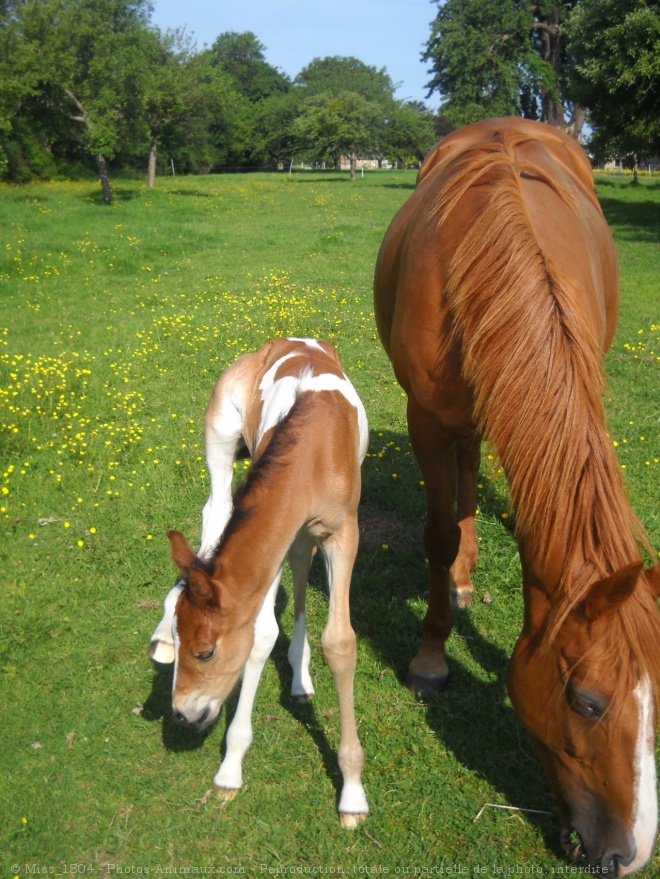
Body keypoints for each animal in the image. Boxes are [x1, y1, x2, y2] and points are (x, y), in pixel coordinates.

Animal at [150, 336, 372, 824]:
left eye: (206, 652)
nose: (183, 714)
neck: (315, 446)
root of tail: (285, 341)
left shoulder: (343, 533)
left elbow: (340, 643)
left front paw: (352, 793)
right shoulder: (275, 540)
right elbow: (260, 634)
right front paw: (230, 768)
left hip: (306, 533)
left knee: (297, 565)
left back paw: (300, 679)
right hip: (221, 435)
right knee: (215, 514)